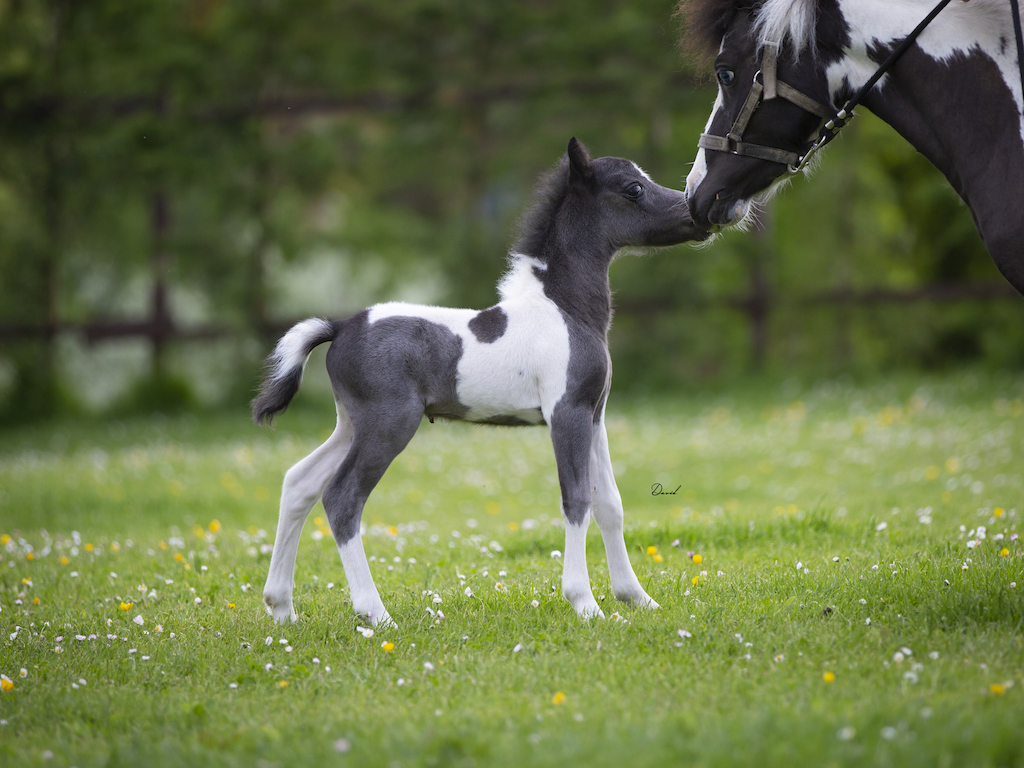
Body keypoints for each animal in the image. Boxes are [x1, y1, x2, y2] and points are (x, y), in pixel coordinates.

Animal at [252, 138, 706, 626]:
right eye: (633, 188)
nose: (696, 213)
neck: (563, 309)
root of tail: (339, 327)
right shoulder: (566, 413)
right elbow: (577, 499)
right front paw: (585, 603)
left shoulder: (594, 414)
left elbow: (610, 504)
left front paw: (637, 598)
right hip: (388, 424)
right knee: (342, 498)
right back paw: (376, 614)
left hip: (351, 425)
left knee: (299, 482)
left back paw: (282, 608)